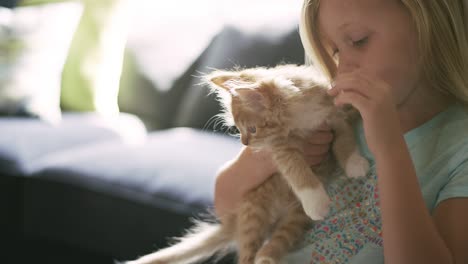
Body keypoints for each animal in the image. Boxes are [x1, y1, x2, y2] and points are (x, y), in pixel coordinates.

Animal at [127, 64, 370, 264]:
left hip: (295, 217)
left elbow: (345, 140)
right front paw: (315, 199)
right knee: (246, 255)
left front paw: (355, 164)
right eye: (239, 129)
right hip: (254, 213)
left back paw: (267, 256)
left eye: (252, 129)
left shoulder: (335, 115)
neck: (303, 114)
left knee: (279, 240)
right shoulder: (280, 147)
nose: (245, 143)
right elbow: (295, 167)